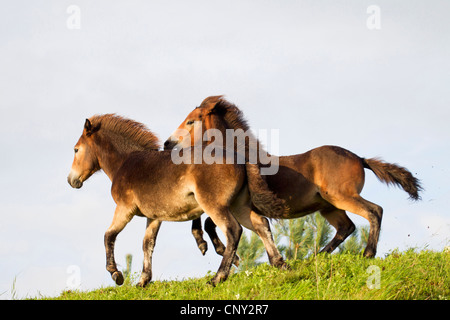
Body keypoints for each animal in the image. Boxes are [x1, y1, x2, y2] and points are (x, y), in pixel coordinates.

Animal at [67, 114, 288, 286]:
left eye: (76, 149)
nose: (71, 180)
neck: (125, 163)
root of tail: (239, 159)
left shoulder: (124, 209)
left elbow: (109, 235)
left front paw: (116, 274)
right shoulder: (154, 217)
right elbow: (147, 243)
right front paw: (143, 280)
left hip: (215, 206)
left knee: (233, 231)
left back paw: (218, 278)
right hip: (238, 205)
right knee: (261, 224)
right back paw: (280, 264)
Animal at [164, 95, 422, 258]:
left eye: (191, 121)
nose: (168, 144)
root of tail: (359, 158)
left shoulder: (235, 204)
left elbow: (210, 221)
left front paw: (214, 249)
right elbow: (206, 220)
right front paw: (208, 246)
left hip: (341, 196)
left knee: (374, 211)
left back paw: (367, 253)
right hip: (329, 207)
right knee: (346, 227)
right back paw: (316, 257)